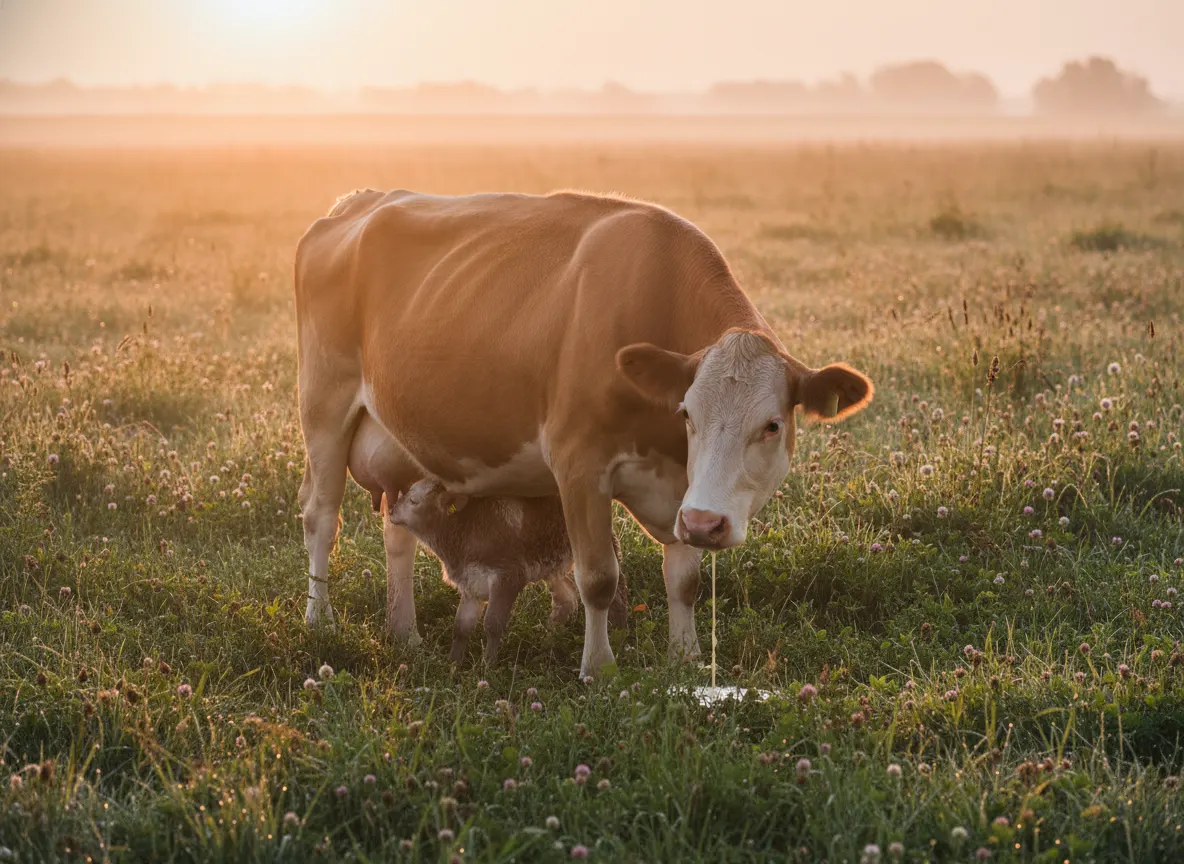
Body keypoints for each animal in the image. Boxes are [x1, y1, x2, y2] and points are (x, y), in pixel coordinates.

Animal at [294, 189, 873, 678]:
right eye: (688, 413)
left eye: (772, 424)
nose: (706, 524)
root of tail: (357, 202)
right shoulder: (579, 465)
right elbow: (597, 576)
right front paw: (598, 667)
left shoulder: (680, 489)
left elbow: (684, 580)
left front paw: (684, 657)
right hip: (322, 406)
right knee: (321, 517)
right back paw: (319, 620)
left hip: (405, 442)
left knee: (398, 532)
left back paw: (406, 634)